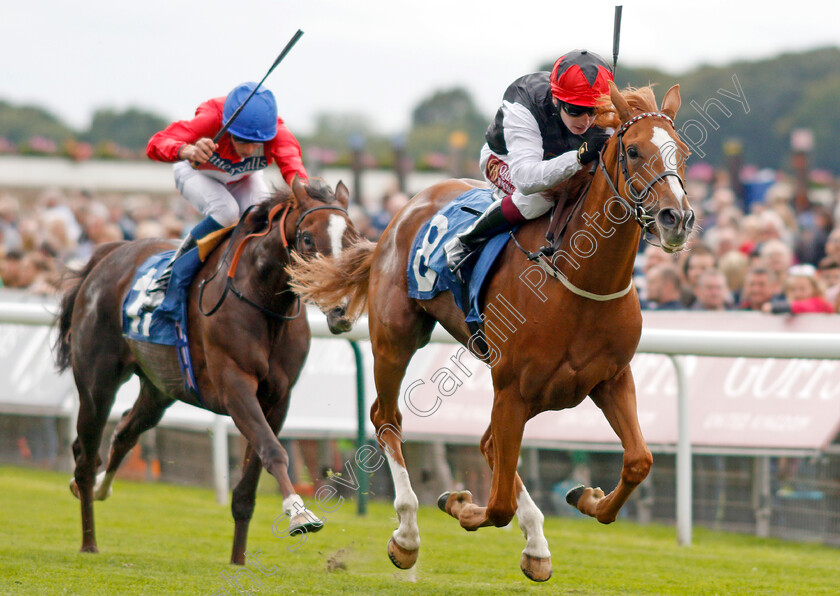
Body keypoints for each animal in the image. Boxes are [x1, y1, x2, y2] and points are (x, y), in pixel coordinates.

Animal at [55, 177, 358, 564]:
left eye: (351, 238)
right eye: (307, 239)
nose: (341, 309)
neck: (264, 302)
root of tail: (108, 256)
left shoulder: (278, 398)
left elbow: (249, 484)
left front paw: (238, 560)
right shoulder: (235, 386)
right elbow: (273, 450)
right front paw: (299, 514)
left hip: (159, 388)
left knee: (125, 431)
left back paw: (99, 488)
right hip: (98, 382)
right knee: (85, 453)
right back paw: (89, 539)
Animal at [286, 84, 692, 584]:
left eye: (684, 153)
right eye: (633, 150)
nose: (678, 218)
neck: (581, 282)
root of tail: (405, 209)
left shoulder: (609, 379)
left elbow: (638, 461)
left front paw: (587, 498)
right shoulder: (512, 387)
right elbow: (496, 505)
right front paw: (459, 504)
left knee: (485, 443)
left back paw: (536, 545)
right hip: (396, 339)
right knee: (388, 418)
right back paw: (407, 535)